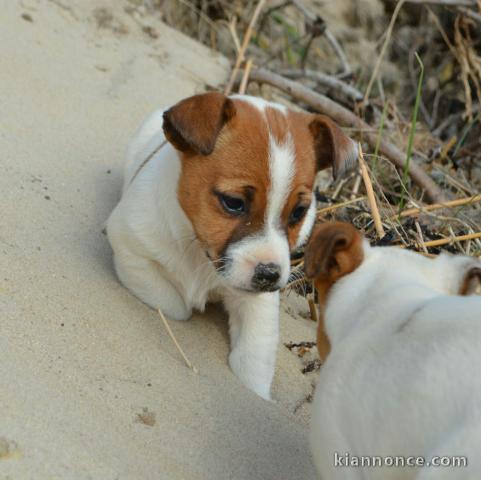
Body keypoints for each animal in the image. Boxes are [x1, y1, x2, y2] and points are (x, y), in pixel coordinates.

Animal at [108, 92, 356, 400]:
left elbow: (254, 357)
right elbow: (174, 305)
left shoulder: (258, 302)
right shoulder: (130, 248)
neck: (199, 254)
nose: (269, 274)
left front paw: (257, 393)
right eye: (233, 203)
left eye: (299, 212)